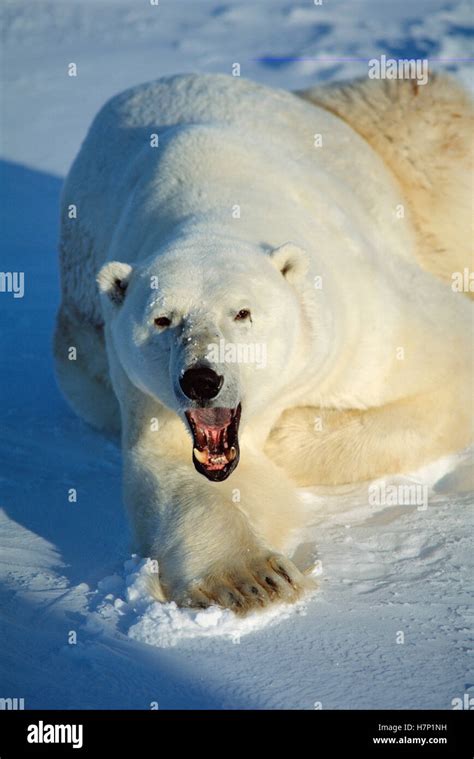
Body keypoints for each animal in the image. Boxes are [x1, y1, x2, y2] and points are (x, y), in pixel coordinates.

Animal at [52, 74, 474, 616]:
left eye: (242, 313)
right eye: (162, 319)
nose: (201, 380)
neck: (213, 201)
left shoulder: (365, 314)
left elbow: (444, 363)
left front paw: (286, 437)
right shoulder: (144, 387)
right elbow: (174, 464)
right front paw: (251, 580)